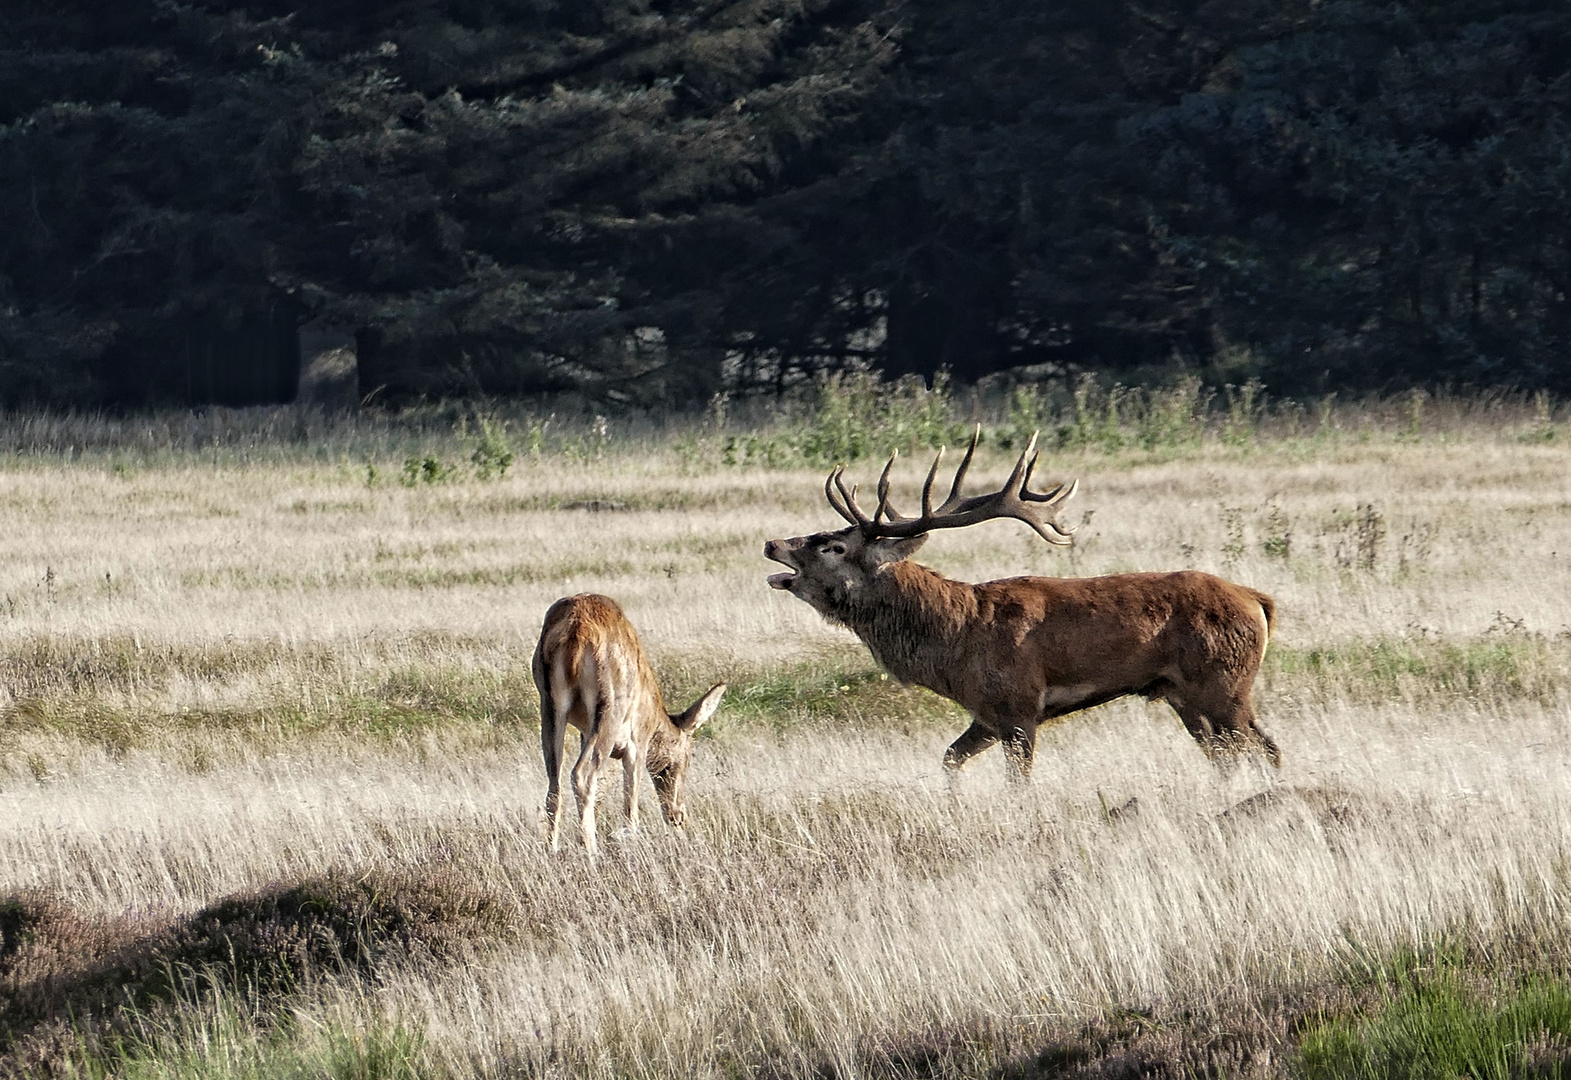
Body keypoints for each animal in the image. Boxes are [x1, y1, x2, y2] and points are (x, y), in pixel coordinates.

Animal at [527, 591, 722, 855]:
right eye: (682, 761)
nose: (678, 816)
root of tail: (576, 631)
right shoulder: (637, 742)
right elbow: (630, 804)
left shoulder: (586, 733)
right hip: (609, 710)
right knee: (582, 774)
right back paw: (591, 852)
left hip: (550, 706)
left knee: (554, 784)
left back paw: (553, 849)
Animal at [760, 430, 1275, 776]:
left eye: (833, 546)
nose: (771, 543)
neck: (956, 639)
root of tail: (1258, 600)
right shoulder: (986, 716)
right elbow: (948, 760)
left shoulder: (1020, 707)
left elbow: (1018, 782)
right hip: (1183, 693)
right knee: (1234, 755)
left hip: (1224, 682)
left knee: (1263, 749)